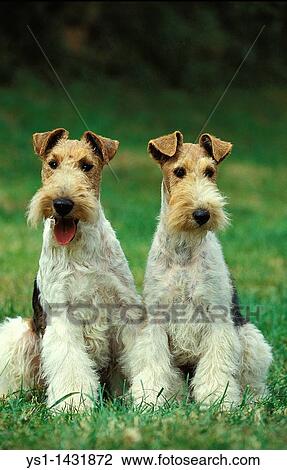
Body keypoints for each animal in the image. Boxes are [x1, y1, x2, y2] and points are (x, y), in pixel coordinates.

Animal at [0, 126, 144, 410]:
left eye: (87, 165)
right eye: (52, 163)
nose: (62, 204)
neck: (79, 247)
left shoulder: (125, 310)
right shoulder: (63, 316)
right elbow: (71, 366)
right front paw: (73, 405)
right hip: (20, 334)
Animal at [130, 131, 272, 408]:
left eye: (210, 171)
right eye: (179, 171)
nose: (202, 214)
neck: (184, 248)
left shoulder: (217, 319)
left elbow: (216, 369)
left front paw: (218, 402)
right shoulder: (156, 322)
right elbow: (154, 365)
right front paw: (148, 401)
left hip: (251, 340)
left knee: (254, 383)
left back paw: (253, 402)